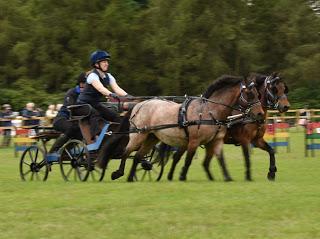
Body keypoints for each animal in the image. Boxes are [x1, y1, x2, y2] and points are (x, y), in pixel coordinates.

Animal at [100, 74, 264, 181]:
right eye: (250, 94)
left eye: (258, 94)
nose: (261, 114)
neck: (209, 111)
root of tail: (139, 104)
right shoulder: (193, 141)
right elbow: (188, 160)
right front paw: (182, 176)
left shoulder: (216, 141)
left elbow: (221, 160)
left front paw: (228, 178)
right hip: (138, 135)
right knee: (126, 152)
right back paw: (118, 173)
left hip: (151, 138)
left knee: (138, 156)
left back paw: (129, 177)